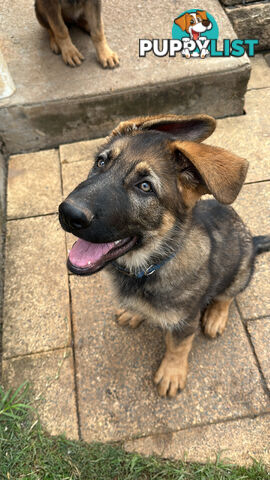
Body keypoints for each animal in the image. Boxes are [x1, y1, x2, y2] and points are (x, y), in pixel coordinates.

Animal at [59, 116, 270, 398]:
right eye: (101, 162)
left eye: (145, 187)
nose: (68, 213)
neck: (148, 266)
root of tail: (253, 241)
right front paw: (134, 312)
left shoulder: (185, 322)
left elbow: (177, 347)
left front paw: (172, 372)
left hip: (241, 269)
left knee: (227, 296)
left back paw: (216, 316)